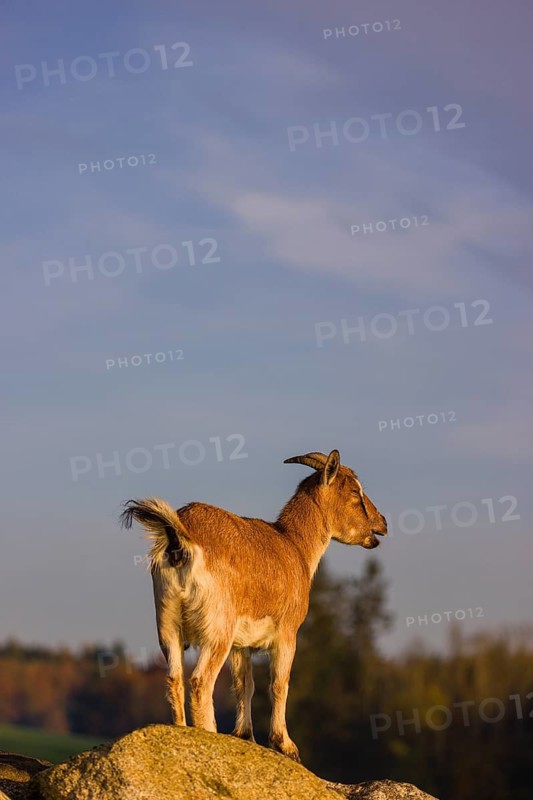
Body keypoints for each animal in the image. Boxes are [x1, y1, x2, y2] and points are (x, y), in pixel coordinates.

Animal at [120, 449, 387, 761]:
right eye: (355, 491)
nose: (382, 523)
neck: (294, 547)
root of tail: (179, 539)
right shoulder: (287, 633)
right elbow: (279, 684)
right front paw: (286, 745)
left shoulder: (241, 644)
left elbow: (244, 685)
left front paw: (245, 735)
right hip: (217, 629)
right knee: (201, 681)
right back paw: (208, 735)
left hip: (168, 622)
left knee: (174, 678)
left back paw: (182, 731)